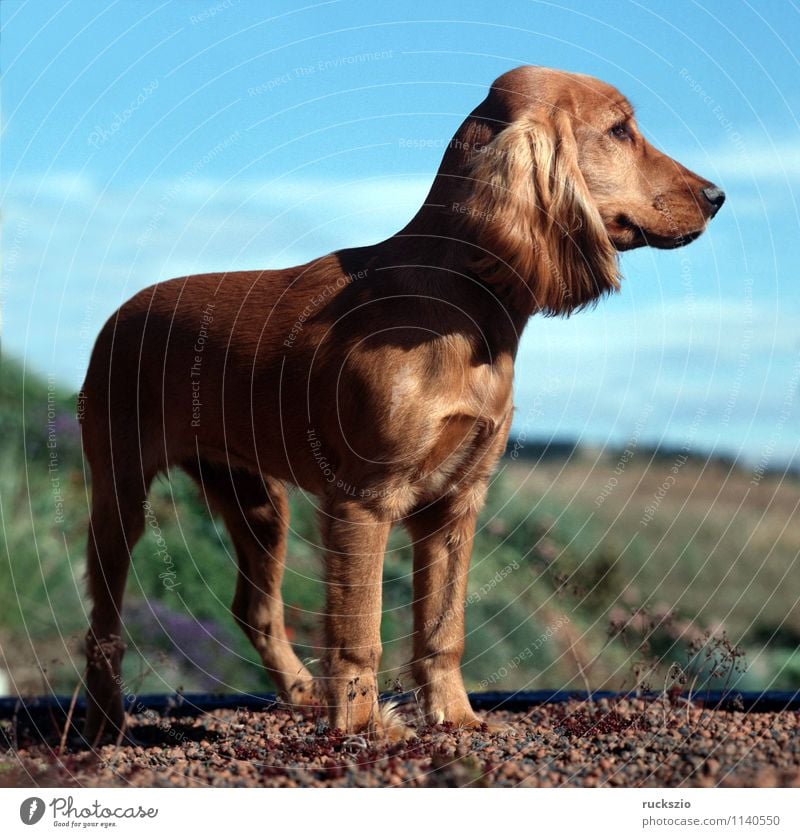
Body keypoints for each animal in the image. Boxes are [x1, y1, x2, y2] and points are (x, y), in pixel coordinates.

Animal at [79, 67, 724, 744]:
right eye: (621, 130)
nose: (717, 196)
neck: (458, 304)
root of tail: (121, 313)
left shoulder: (456, 502)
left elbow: (443, 630)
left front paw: (458, 718)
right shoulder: (364, 500)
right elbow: (360, 632)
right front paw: (366, 727)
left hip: (257, 500)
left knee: (253, 609)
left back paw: (301, 692)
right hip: (120, 492)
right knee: (103, 625)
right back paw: (104, 725)